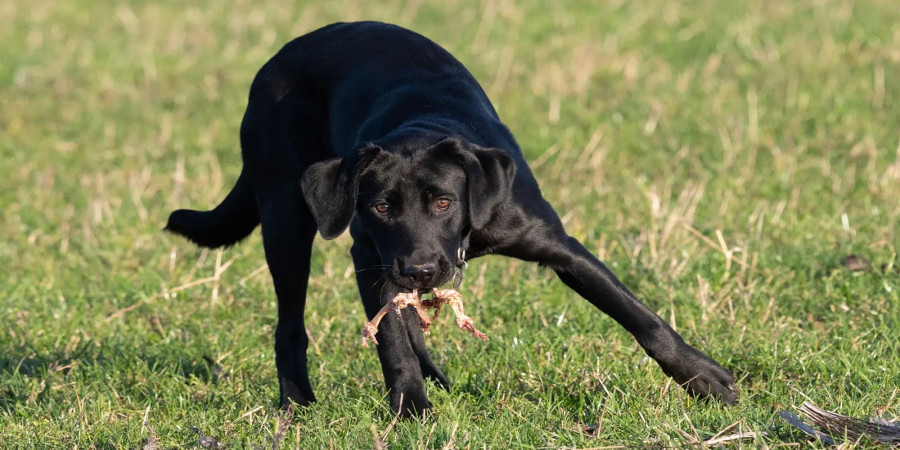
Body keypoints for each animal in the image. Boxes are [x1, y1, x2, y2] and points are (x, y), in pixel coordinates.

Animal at [167, 21, 740, 414]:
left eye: (444, 202)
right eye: (381, 207)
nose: (421, 269)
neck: (418, 128)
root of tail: (275, 60)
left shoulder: (556, 244)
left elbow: (639, 316)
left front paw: (705, 379)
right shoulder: (370, 255)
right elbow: (391, 340)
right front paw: (411, 408)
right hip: (286, 219)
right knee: (291, 326)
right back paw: (298, 406)